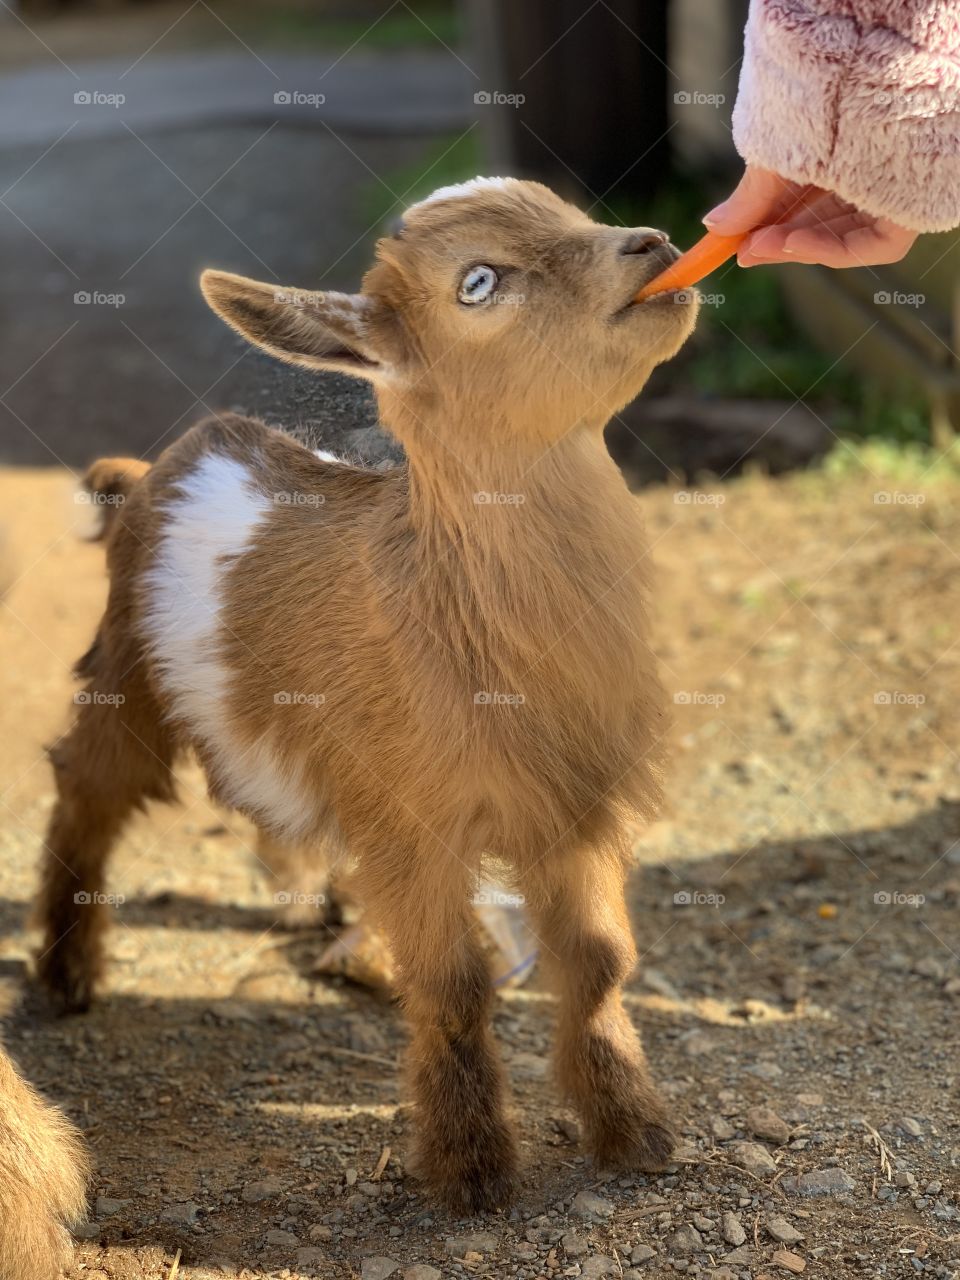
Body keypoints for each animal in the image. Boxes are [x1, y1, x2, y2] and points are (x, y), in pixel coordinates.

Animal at [36, 177, 698, 1211]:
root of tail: (156, 471)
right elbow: (455, 986)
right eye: (478, 281)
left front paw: (634, 1133)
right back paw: (65, 976)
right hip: (125, 676)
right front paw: (471, 1171)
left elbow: (597, 965)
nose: (657, 243)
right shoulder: (413, 826)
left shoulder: (573, 812)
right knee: (88, 791)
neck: (449, 611)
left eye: (570, 210)